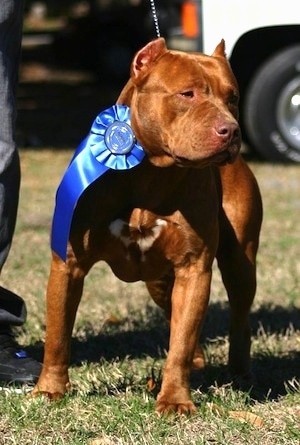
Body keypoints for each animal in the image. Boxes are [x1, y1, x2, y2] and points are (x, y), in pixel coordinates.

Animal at [32, 37, 262, 412]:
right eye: (188, 94)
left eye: (233, 98)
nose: (231, 130)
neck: (151, 173)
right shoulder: (68, 264)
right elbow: (58, 333)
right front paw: (49, 390)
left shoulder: (194, 268)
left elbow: (180, 341)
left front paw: (175, 401)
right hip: (159, 281)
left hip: (238, 263)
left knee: (237, 316)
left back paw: (240, 373)